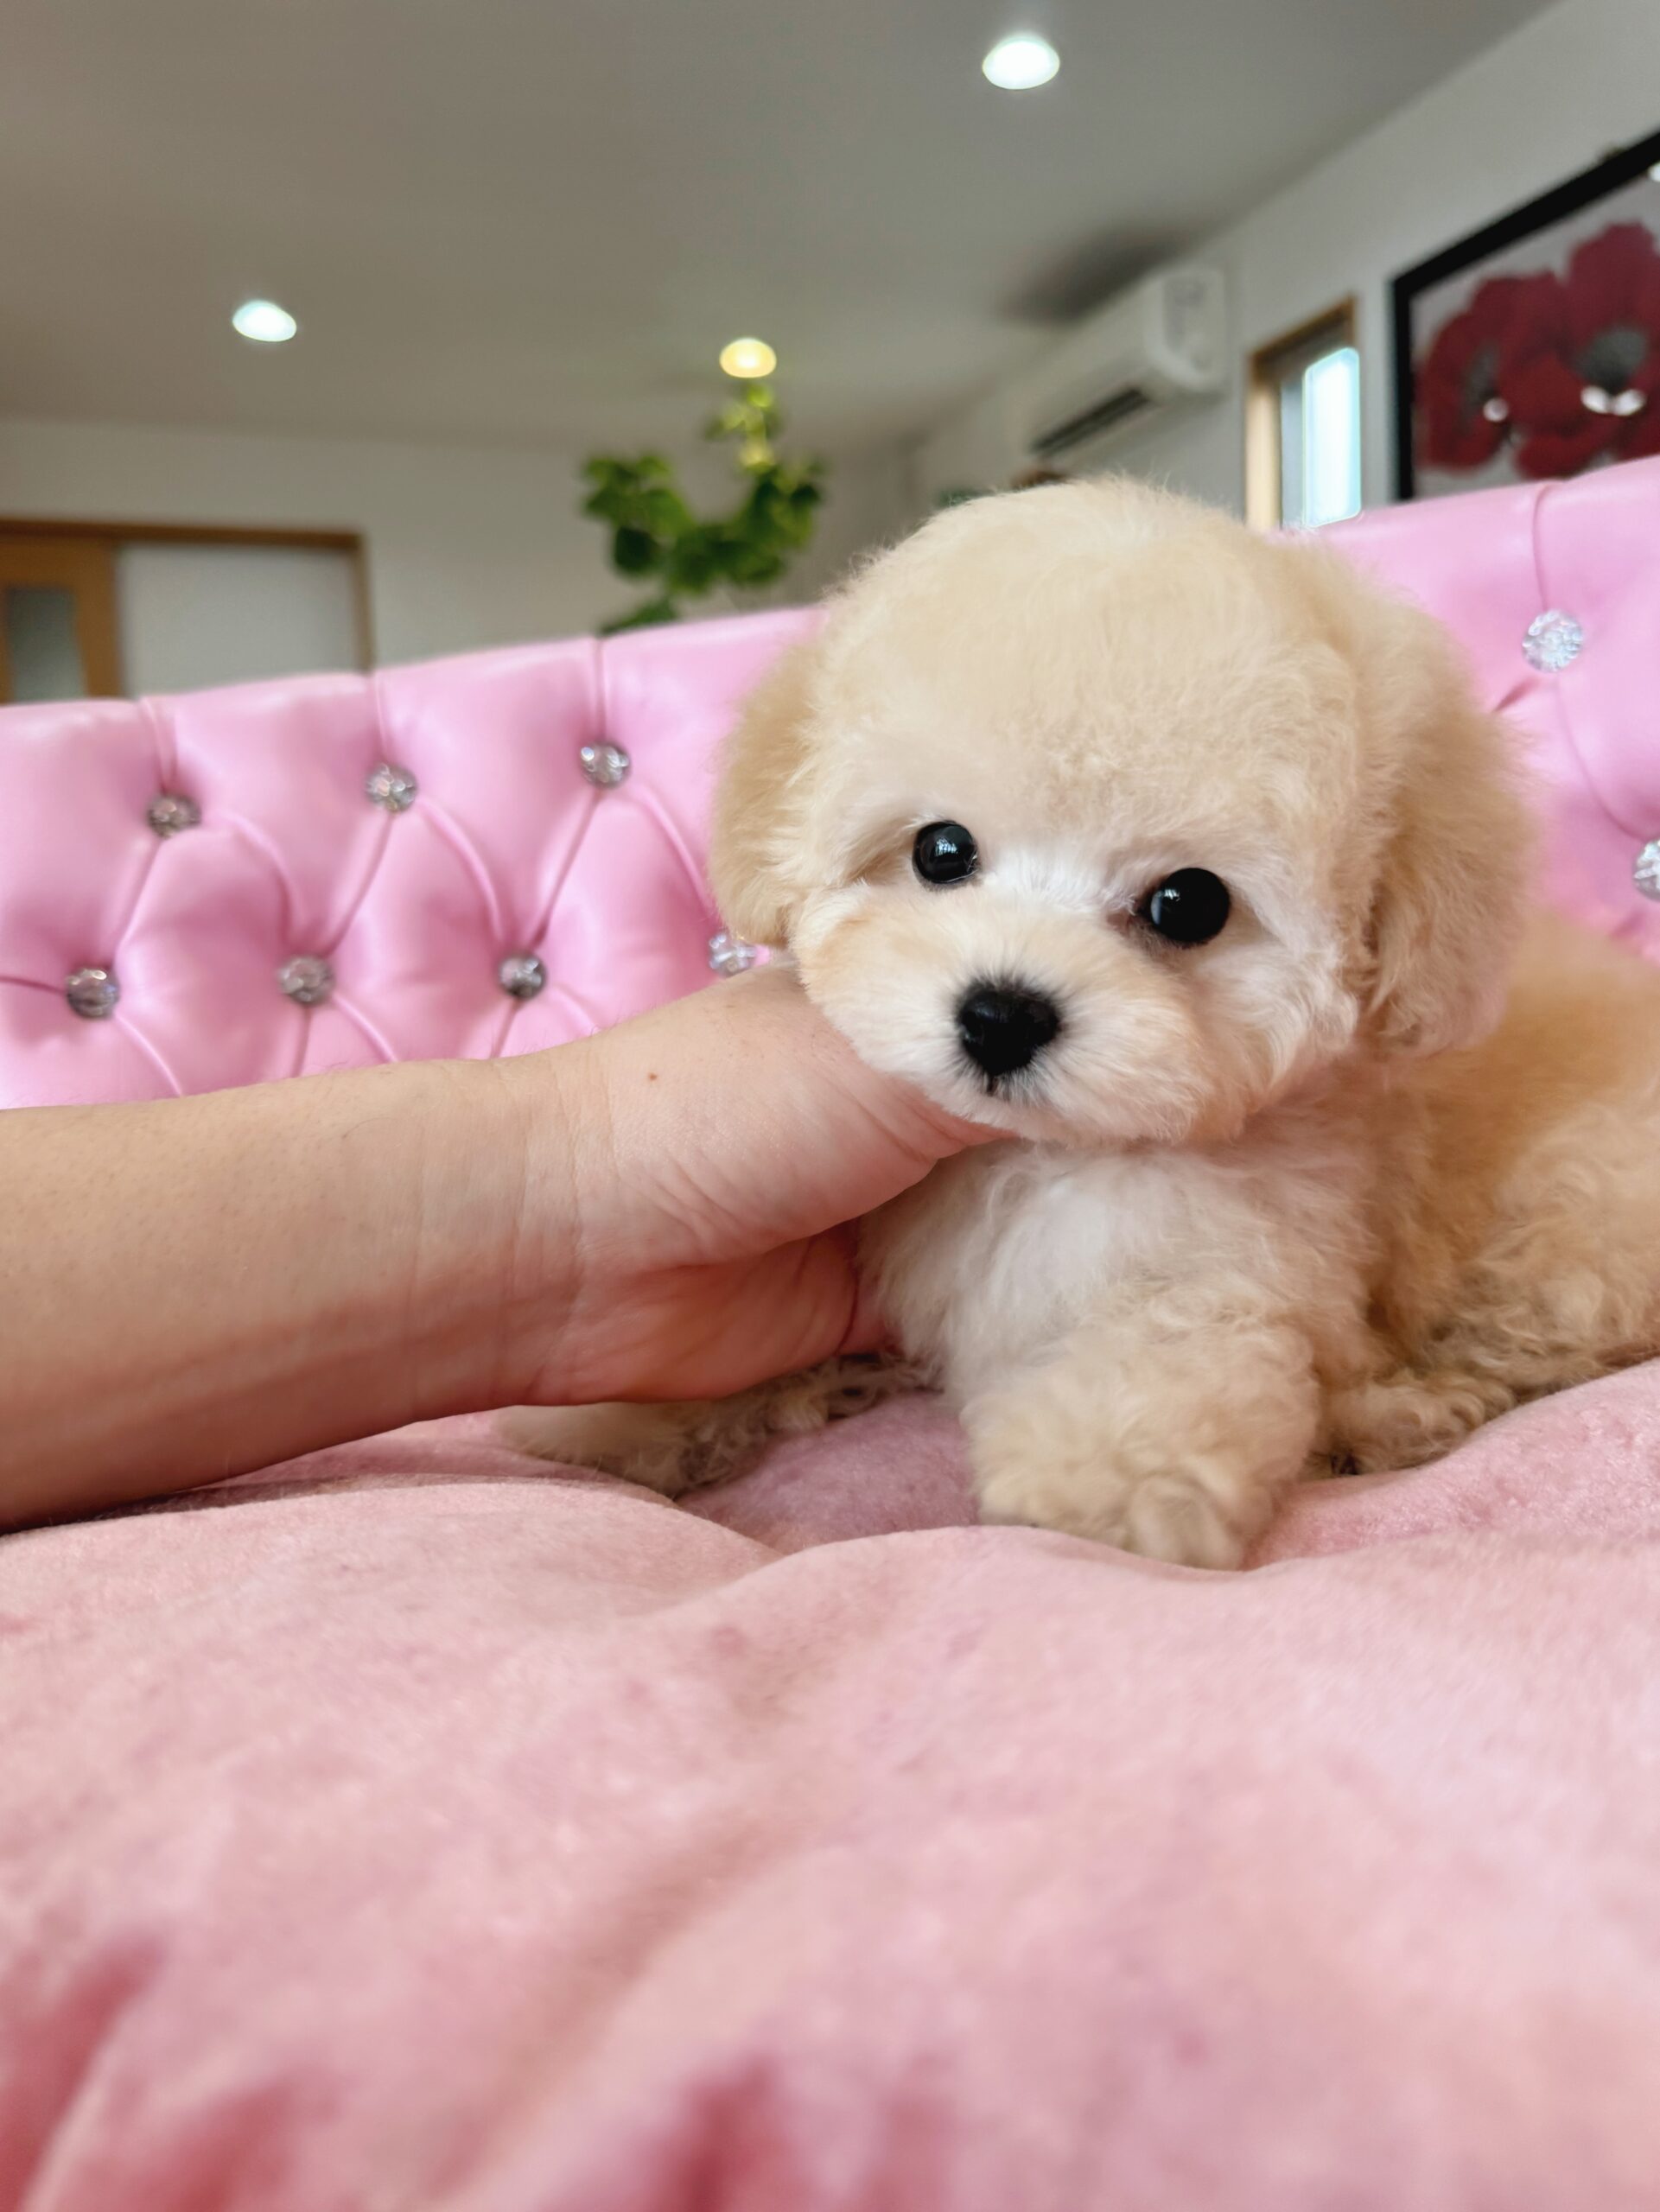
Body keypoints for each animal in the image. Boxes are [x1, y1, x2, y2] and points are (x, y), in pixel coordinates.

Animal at [506, 478, 1660, 1567]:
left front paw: (1108, 1478)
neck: (1042, 1154)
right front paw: (619, 1418)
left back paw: (1398, 1409)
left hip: (1569, 1220)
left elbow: (1168, 1342)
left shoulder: (1229, 1251)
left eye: (1186, 904)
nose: (1001, 1015)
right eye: (939, 851)